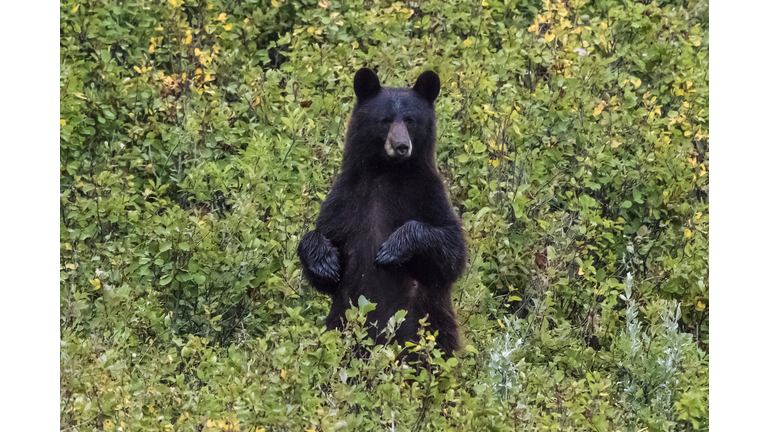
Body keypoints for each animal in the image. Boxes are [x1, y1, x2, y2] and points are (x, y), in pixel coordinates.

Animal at [296, 68, 464, 358]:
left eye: (410, 120)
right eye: (384, 120)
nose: (401, 146)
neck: (387, 172)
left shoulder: (428, 195)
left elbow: (451, 252)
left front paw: (392, 249)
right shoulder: (347, 199)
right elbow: (325, 245)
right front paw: (325, 261)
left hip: (428, 328)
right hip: (340, 324)